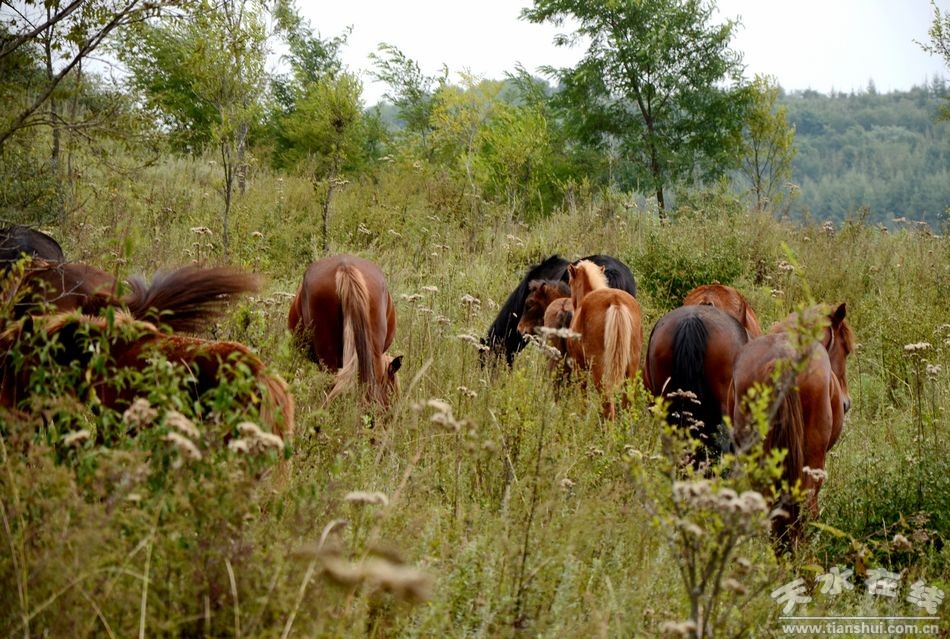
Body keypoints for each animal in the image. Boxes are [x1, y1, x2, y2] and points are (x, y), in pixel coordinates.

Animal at [566, 260, 642, 420]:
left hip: (599, 370)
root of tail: (615, 301)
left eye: (570, 282)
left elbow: (583, 396)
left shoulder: (579, 365)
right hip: (631, 369)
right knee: (627, 404)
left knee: (607, 405)